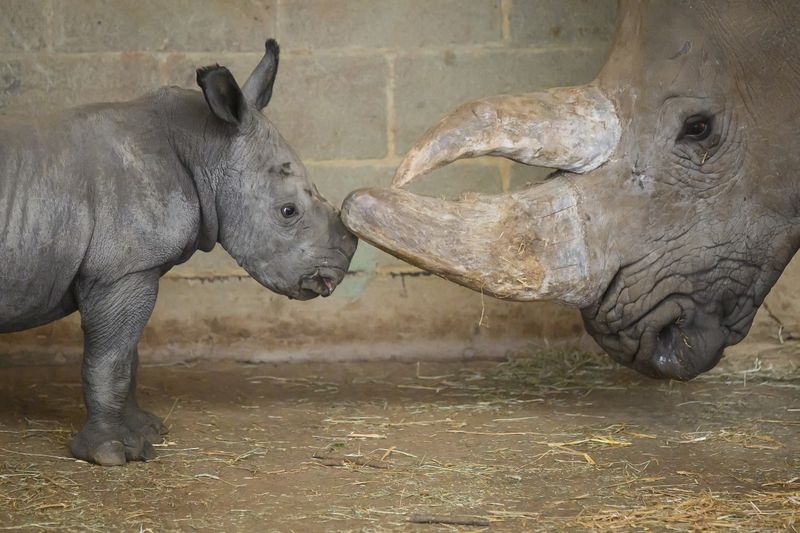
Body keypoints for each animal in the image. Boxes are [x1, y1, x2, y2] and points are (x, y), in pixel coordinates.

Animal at [0, 40, 357, 465]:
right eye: (288, 211)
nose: (336, 271)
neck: (206, 145)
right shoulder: (123, 268)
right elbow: (111, 358)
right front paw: (110, 454)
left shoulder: (134, 268)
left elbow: (128, 353)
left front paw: (144, 430)